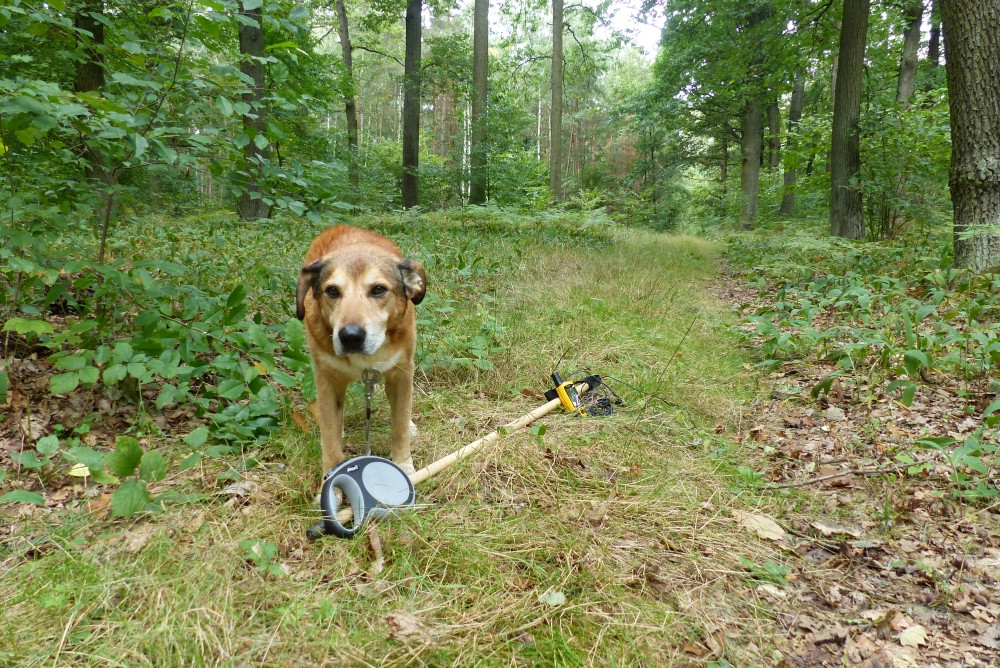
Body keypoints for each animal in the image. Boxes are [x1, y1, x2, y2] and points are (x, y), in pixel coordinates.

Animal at [292, 227, 426, 478]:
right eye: (332, 290)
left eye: (379, 289)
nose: (351, 336)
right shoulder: (327, 379)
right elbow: (330, 439)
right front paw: (331, 478)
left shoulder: (401, 371)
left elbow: (400, 424)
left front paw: (403, 463)